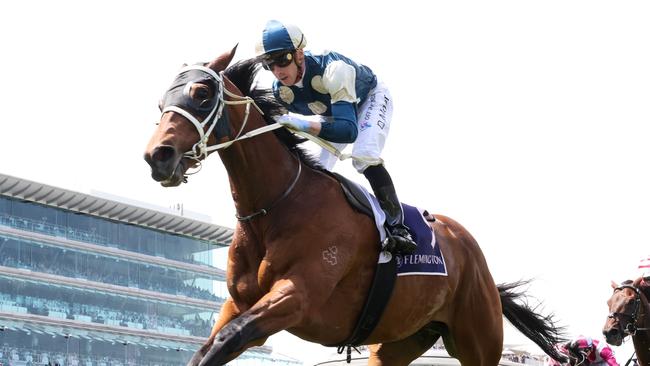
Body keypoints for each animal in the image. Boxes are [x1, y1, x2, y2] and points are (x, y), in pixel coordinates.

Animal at [143, 47, 568, 364]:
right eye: (162, 101)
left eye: (202, 94)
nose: (157, 156)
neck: (275, 207)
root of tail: (475, 257)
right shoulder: (238, 303)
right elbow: (205, 350)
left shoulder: (297, 297)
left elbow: (226, 339)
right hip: (400, 341)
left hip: (478, 340)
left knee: (366, 156)